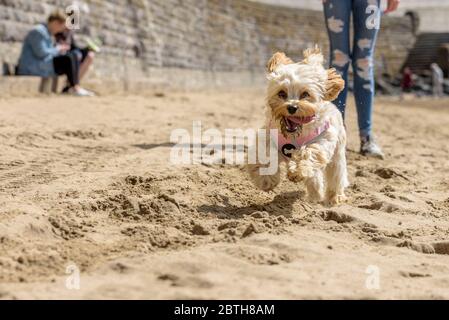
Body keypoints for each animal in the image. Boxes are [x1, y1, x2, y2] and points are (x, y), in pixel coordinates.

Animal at [247, 47, 348, 205]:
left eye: (305, 94)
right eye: (282, 93)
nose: (292, 107)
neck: (294, 135)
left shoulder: (323, 139)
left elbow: (309, 152)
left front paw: (297, 171)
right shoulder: (269, 135)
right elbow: (265, 155)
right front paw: (266, 180)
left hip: (338, 154)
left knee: (336, 175)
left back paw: (334, 196)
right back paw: (314, 195)